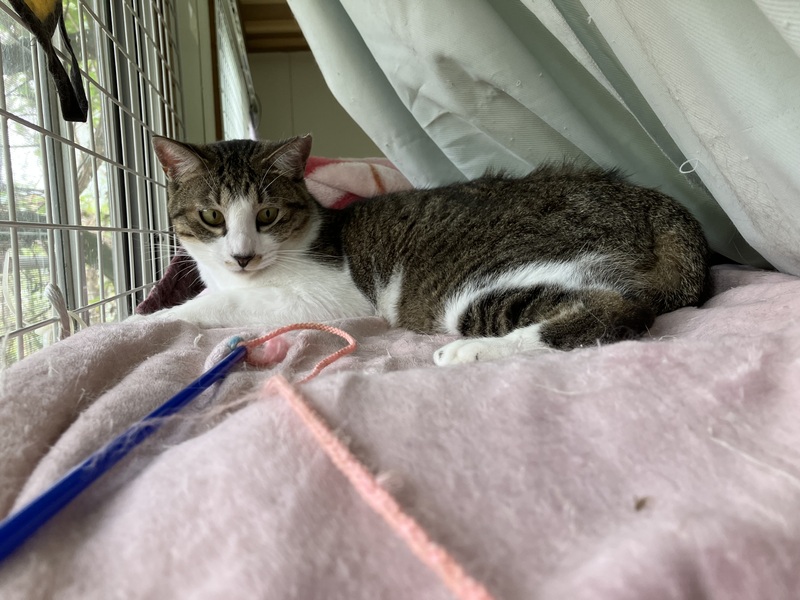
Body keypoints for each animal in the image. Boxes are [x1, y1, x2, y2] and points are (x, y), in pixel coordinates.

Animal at [143, 134, 710, 366]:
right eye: (212, 217)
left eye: (266, 215)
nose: (242, 255)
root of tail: (654, 203)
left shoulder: (325, 296)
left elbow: (220, 304)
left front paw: (150, 318)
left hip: (478, 284)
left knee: (617, 310)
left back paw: (470, 351)